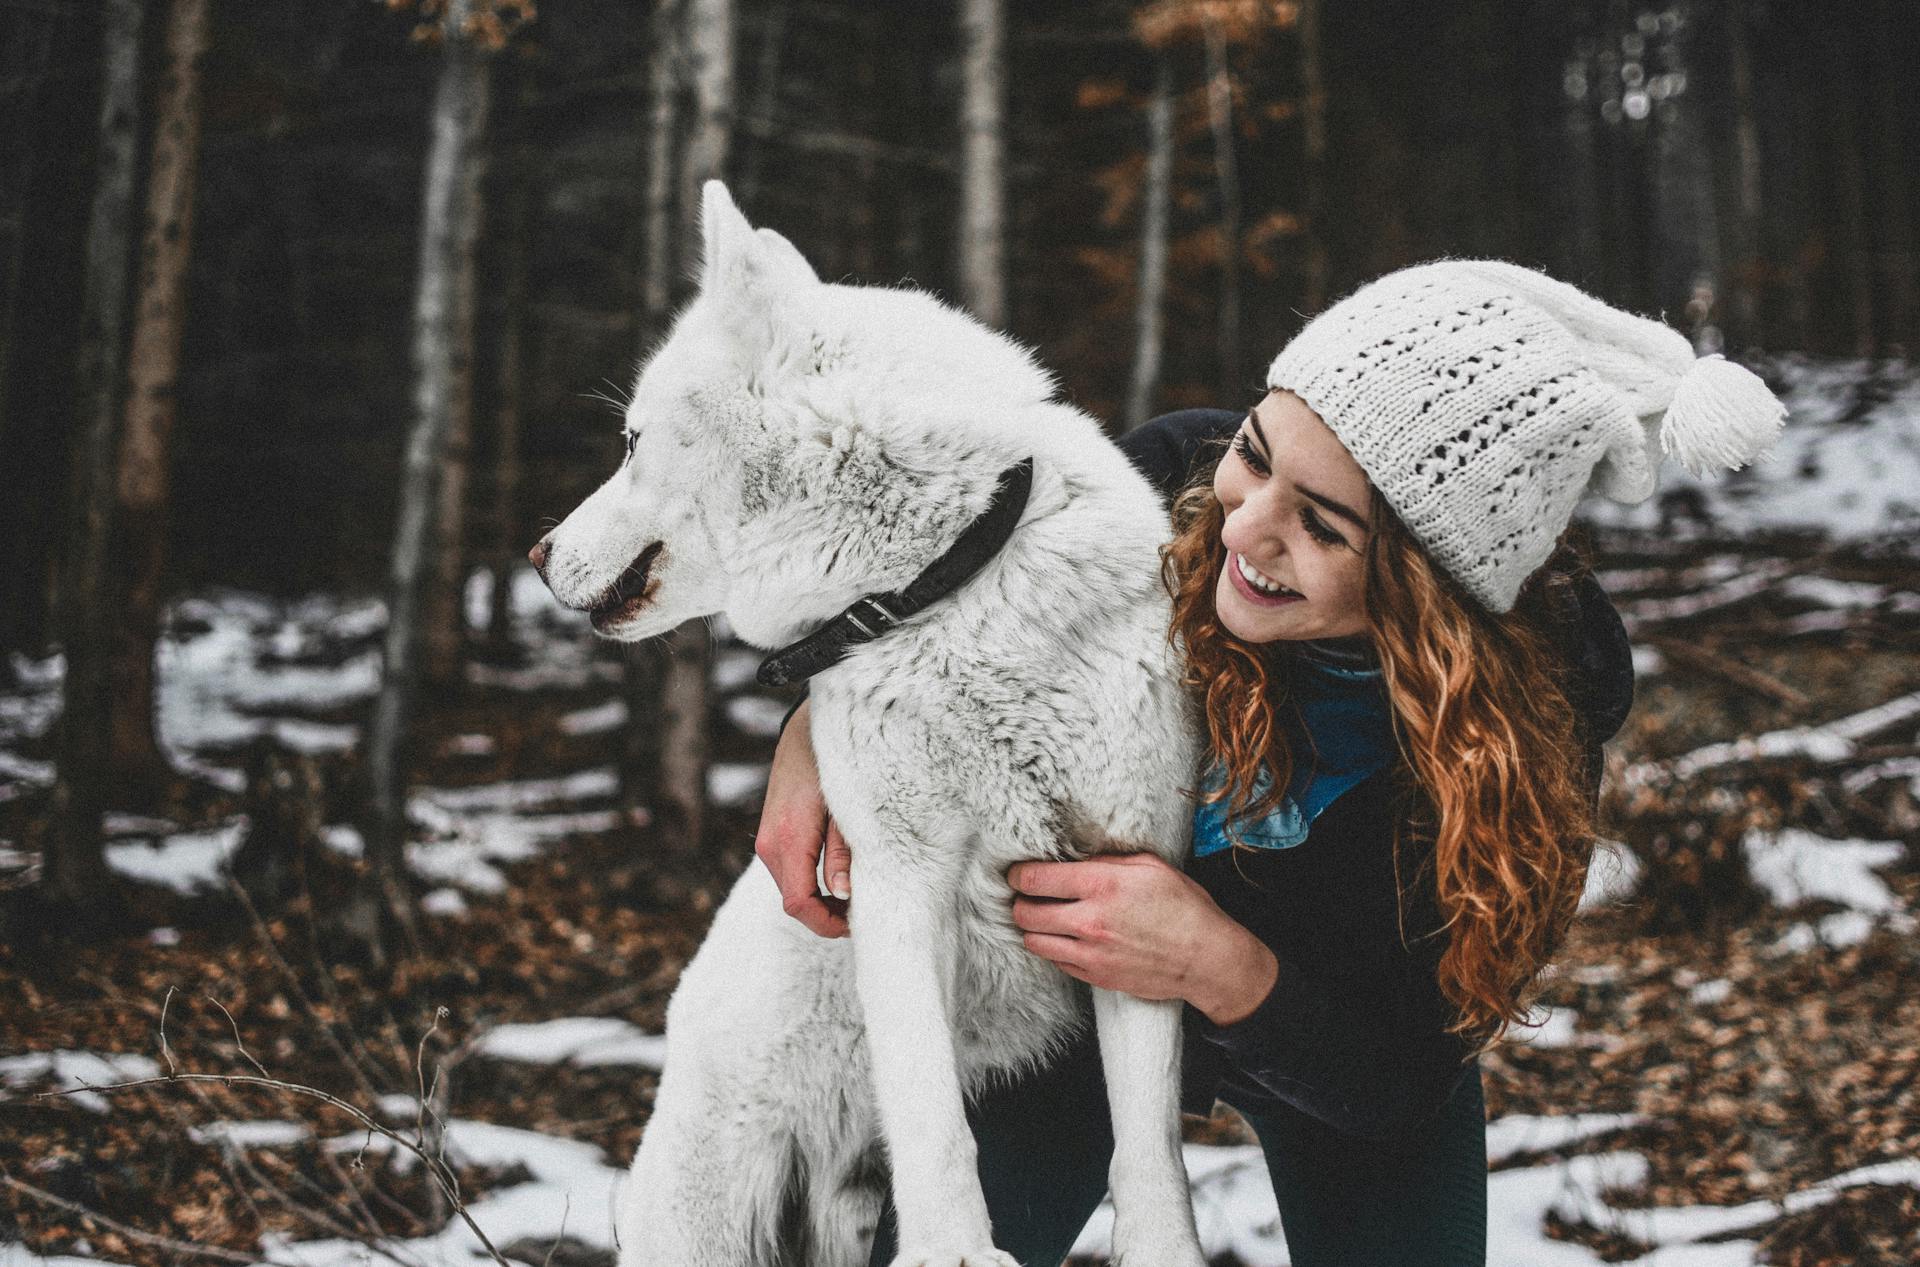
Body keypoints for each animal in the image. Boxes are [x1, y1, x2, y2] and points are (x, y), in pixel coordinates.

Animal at [533, 180, 1198, 1267]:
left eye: (629, 443)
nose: (538, 554)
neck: (949, 585)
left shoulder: (1131, 880)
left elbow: (1149, 1146)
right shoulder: (898, 883)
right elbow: (932, 1120)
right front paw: (957, 1255)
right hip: (704, 1212)